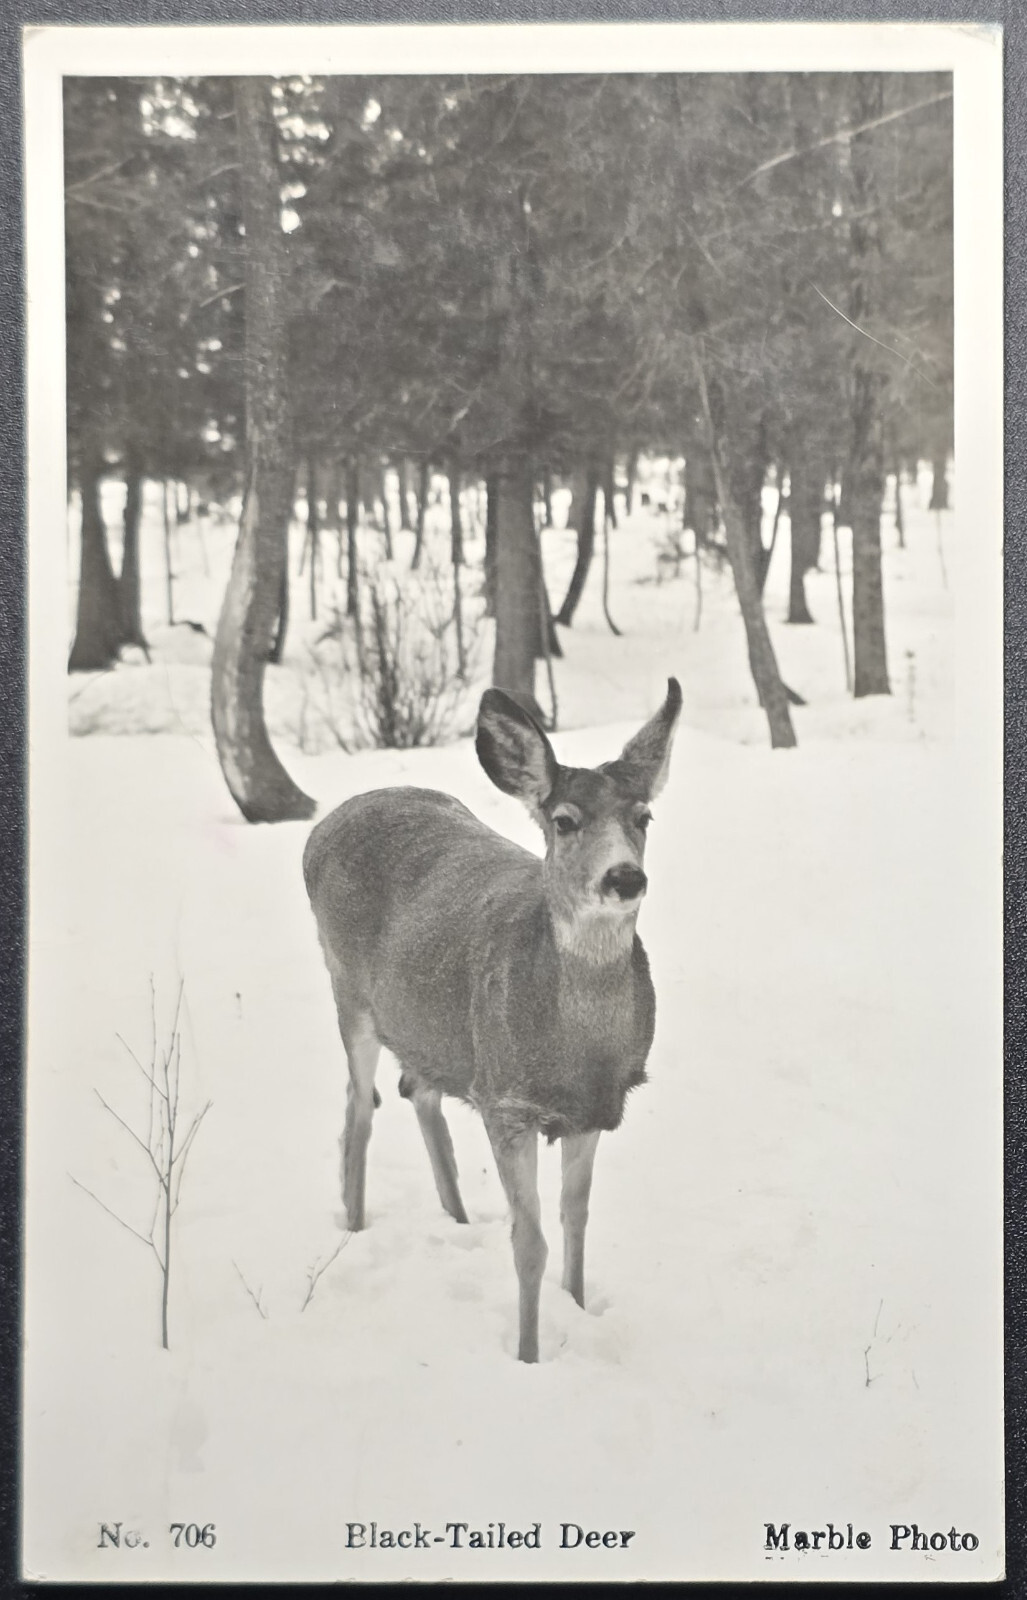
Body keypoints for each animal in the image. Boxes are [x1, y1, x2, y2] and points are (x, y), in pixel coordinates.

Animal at [302, 678, 681, 1362]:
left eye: (643, 817)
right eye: (564, 821)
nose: (625, 876)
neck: (574, 1048)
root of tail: (323, 824)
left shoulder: (596, 1108)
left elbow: (576, 1221)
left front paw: (576, 1308)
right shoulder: (506, 1102)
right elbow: (528, 1243)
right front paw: (530, 1356)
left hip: (431, 1026)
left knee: (414, 1089)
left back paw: (453, 1216)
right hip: (348, 991)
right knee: (358, 1106)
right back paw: (355, 1225)